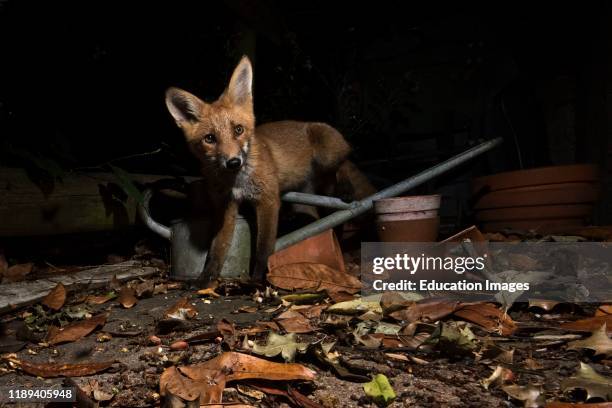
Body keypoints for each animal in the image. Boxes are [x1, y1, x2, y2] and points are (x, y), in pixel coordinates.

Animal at [165, 56, 370, 286]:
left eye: (238, 130)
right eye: (210, 139)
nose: (233, 162)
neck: (237, 181)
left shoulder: (268, 200)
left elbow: (263, 247)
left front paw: (258, 278)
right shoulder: (225, 207)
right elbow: (217, 248)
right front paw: (205, 279)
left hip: (326, 152)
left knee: (344, 164)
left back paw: (345, 189)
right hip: (309, 195)